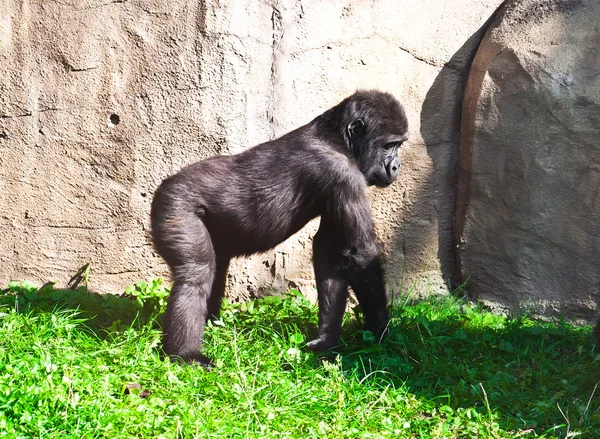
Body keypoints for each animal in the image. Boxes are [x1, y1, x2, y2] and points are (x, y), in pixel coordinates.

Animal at [152, 88, 410, 364]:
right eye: (389, 145)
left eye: (399, 145)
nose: (396, 166)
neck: (337, 138)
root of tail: (162, 188)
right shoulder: (342, 175)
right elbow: (361, 254)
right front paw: (381, 331)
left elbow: (329, 252)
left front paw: (325, 339)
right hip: (175, 207)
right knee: (195, 274)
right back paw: (186, 354)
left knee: (215, 269)